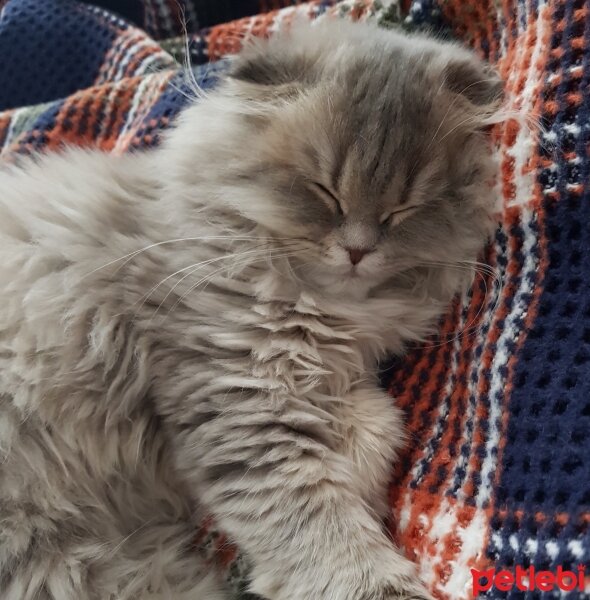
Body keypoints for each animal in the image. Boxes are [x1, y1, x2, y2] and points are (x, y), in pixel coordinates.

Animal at [0, 18, 504, 600]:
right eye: (324, 192)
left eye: (404, 210)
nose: (358, 251)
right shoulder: (242, 402)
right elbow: (317, 523)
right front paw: (374, 579)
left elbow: (376, 425)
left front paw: (362, 459)